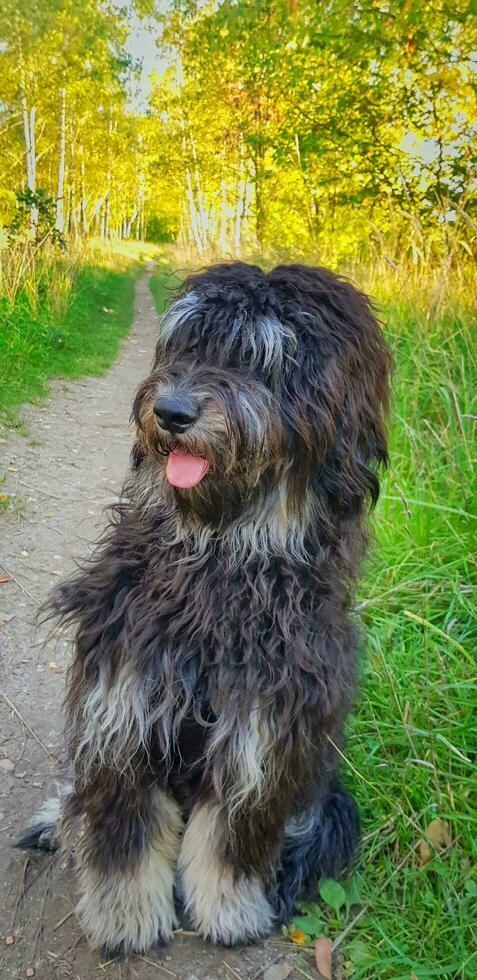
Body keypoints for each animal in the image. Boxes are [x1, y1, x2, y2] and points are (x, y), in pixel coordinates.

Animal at [18, 264, 390, 952]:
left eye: (264, 361)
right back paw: (59, 820)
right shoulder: (124, 700)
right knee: (82, 793)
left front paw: (231, 911)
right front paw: (126, 919)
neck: (221, 559)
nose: (171, 412)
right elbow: (124, 829)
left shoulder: (265, 728)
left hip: (324, 798)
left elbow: (232, 840)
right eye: (187, 346)